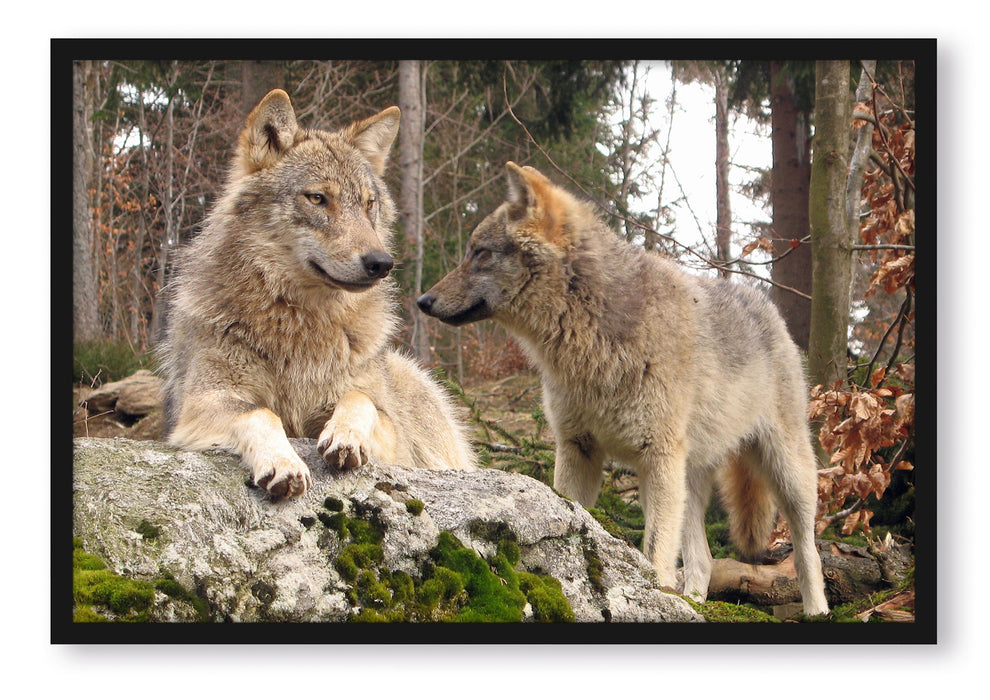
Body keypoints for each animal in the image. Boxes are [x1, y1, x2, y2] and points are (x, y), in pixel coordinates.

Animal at [158, 89, 476, 498]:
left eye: (368, 203)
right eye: (317, 198)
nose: (381, 262)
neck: (300, 319)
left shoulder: (392, 433)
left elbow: (360, 399)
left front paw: (346, 436)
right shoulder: (201, 403)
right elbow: (261, 413)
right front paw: (283, 461)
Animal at [418, 162, 829, 615]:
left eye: (480, 253)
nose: (423, 300)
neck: (590, 338)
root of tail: (768, 306)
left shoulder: (657, 457)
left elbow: (654, 551)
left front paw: (655, 596)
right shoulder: (577, 448)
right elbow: (572, 515)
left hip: (785, 474)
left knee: (808, 551)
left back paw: (817, 610)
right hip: (689, 482)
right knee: (702, 560)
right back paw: (693, 601)